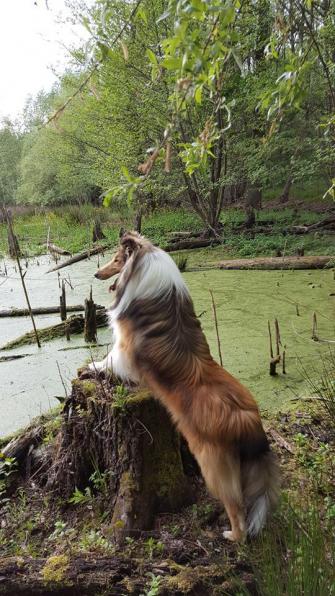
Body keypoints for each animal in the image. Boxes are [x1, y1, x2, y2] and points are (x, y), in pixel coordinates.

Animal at [88, 230, 280, 544]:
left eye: (117, 259)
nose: (96, 273)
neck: (144, 264)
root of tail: (249, 419)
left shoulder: (124, 347)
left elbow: (110, 360)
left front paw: (92, 368)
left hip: (213, 465)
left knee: (237, 505)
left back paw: (232, 535)